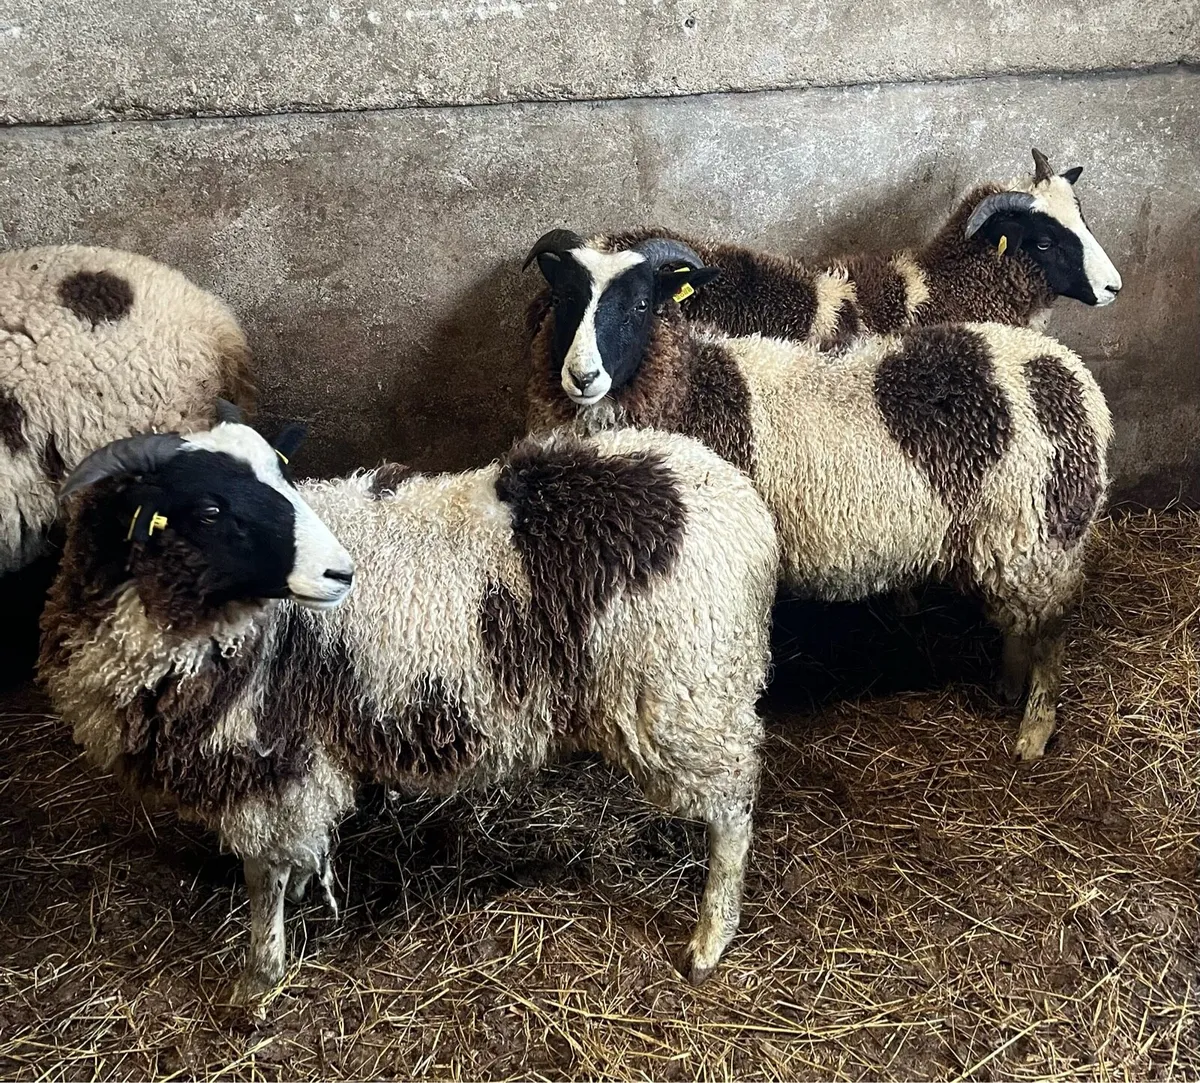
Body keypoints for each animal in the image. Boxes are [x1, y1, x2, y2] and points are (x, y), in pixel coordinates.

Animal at [38, 405, 779, 1004]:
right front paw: (301, 891)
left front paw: (259, 975)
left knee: (734, 804)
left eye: (282, 478)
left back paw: (710, 938)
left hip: (687, 691)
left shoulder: (267, 756)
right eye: (210, 509)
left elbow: (262, 877)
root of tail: (734, 497)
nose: (340, 571)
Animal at [524, 235, 1113, 762]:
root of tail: (1070, 374)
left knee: (1052, 629)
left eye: (641, 304)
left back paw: (1034, 729)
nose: (582, 376)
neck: (695, 388)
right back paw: (1008, 685)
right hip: (1010, 539)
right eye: (565, 300)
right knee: (1023, 620)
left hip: (1042, 529)